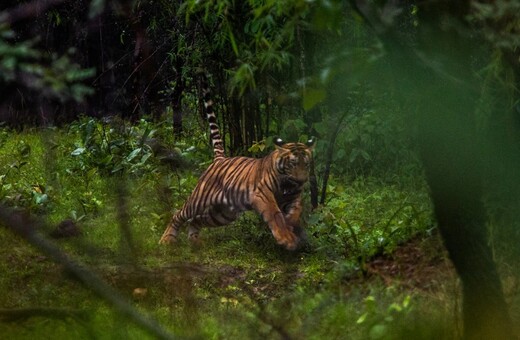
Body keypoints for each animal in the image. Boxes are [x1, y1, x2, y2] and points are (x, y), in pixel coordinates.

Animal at [158, 76, 312, 250]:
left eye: (307, 164)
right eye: (292, 163)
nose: (302, 180)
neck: (287, 184)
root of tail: (220, 158)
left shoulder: (294, 197)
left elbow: (296, 211)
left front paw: (291, 225)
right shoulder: (263, 194)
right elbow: (275, 215)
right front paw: (286, 238)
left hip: (223, 213)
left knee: (197, 220)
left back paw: (195, 242)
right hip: (199, 201)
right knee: (179, 214)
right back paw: (166, 240)